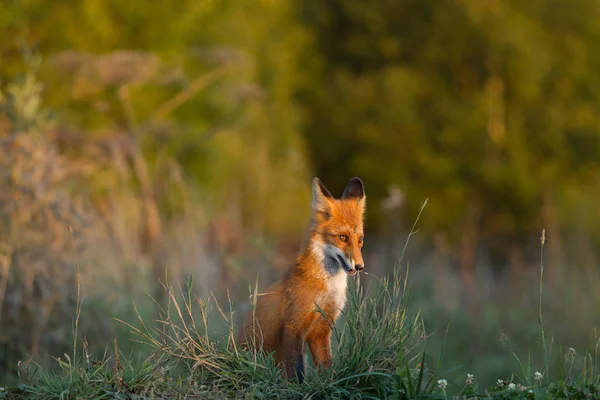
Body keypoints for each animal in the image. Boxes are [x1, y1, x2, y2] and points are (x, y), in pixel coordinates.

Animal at [239, 177, 366, 382]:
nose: (360, 267)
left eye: (360, 239)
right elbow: (297, 372)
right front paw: (298, 387)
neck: (328, 286)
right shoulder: (294, 327)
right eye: (342, 237)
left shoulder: (321, 329)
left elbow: (326, 368)